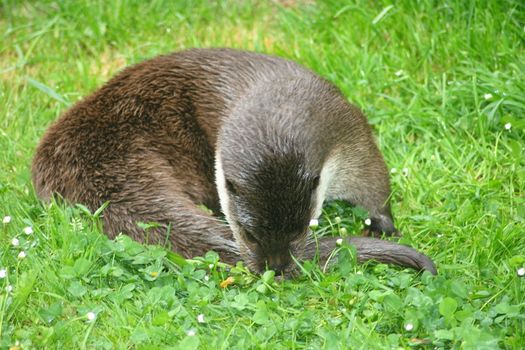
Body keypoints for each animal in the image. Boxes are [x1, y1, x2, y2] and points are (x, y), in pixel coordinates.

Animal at [30, 47, 436, 276]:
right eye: (249, 234)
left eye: (299, 230)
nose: (276, 268)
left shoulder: (346, 131)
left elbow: (374, 181)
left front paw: (384, 224)